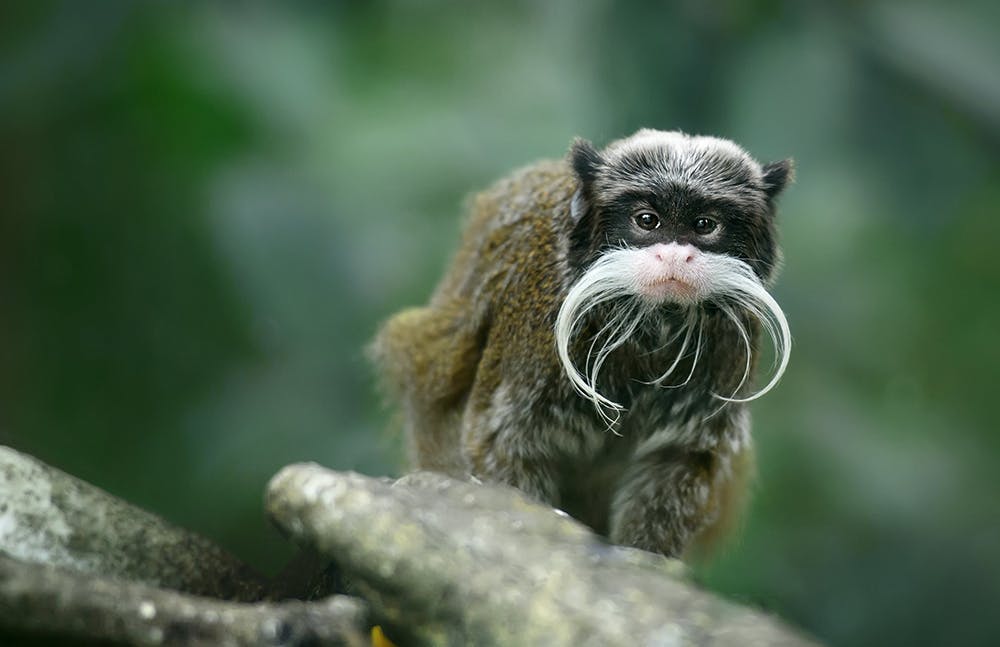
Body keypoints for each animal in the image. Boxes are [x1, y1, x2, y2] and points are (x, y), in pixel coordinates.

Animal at [372, 130, 792, 556]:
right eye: (647, 220)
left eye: (705, 224)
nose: (676, 256)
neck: (651, 322)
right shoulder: (536, 327)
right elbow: (503, 443)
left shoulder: (726, 352)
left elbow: (677, 462)